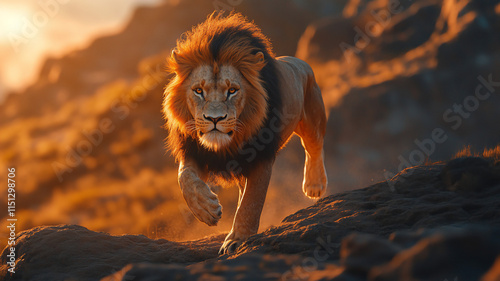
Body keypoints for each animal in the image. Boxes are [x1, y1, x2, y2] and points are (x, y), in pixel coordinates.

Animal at [163, 12, 328, 254]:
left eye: (232, 90)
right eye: (198, 91)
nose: (214, 119)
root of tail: (298, 60)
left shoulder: (261, 156)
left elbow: (252, 201)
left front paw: (237, 239)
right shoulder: (195, 151)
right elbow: (185, 178)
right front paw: (207, 210)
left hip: (312, 115)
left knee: (314, 145)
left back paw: (314, 185)